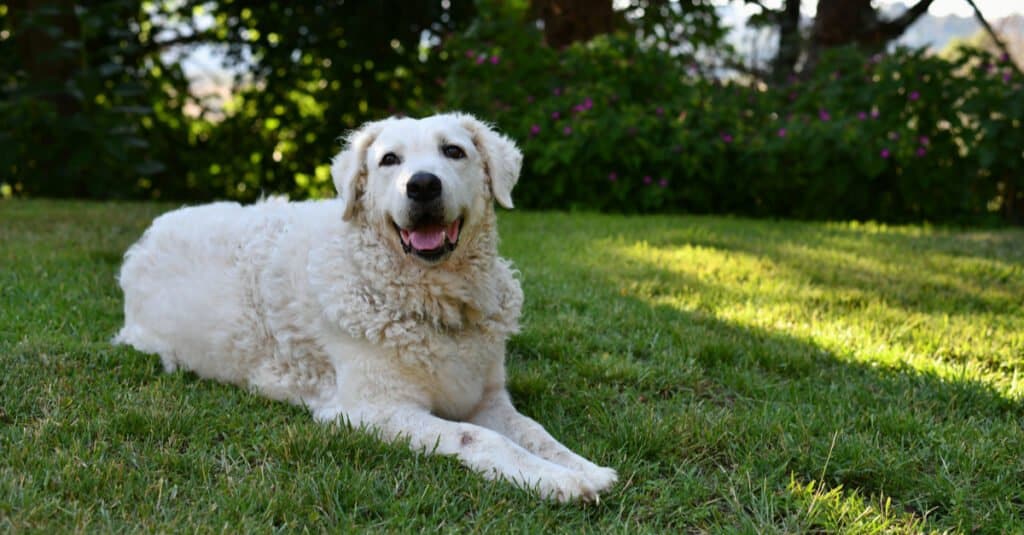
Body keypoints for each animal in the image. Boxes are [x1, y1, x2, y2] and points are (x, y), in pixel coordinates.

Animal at [116, 112, 618, 500]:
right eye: (389, 160)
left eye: (454, 151)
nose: (422, 185)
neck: (432, 300)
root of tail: (149, 233)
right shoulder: (374, 411)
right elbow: (482, 437)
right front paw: (555, 481)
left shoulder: (487, 396)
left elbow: (534, 433)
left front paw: (583, 468)